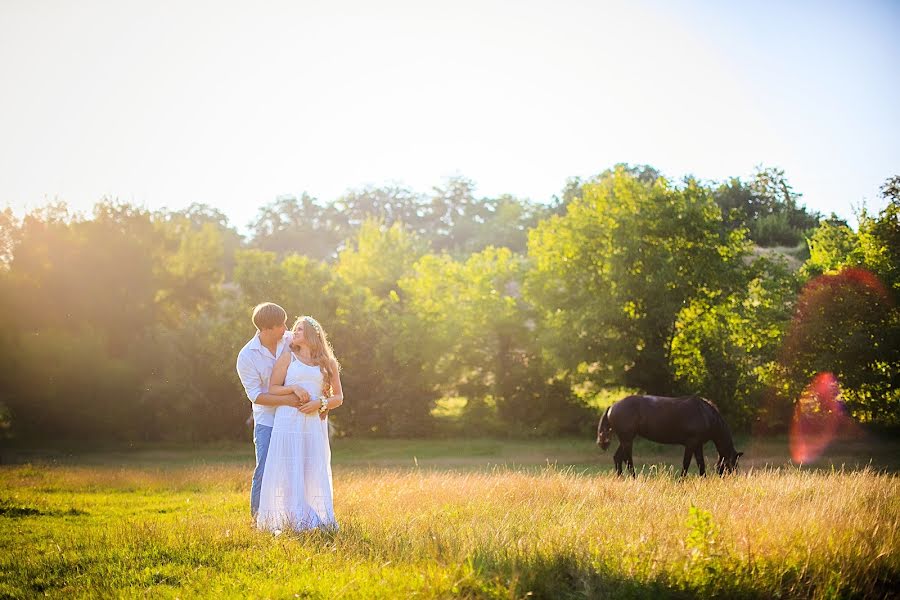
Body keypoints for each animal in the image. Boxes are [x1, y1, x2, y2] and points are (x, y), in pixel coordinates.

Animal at [596, 394, 740, 478]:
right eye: (733, 464)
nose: (733, 479)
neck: (705, 415)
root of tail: (612, 406)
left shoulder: (698, 445)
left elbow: (701, 463)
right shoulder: (691, 444)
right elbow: (686, 463)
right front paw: (681, 481)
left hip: (626, 439)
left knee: (618, 458)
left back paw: (621, 478)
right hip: (627, 439)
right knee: (627, 459)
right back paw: (634, 478)